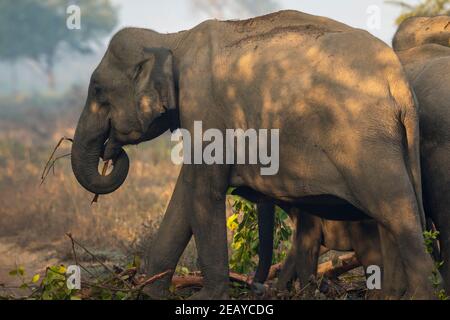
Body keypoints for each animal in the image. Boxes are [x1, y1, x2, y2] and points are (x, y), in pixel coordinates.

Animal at [70, 10, 436, 300]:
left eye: (98, 91)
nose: (112, 152)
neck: (174, 40)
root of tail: (400, 83)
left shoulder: (203, 103)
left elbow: (203, 191)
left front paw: (206, 297)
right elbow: (187, 190)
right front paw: (150, 293)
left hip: (368, 143)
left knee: (398, 213)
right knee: (390, 218)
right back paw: (389, 296)